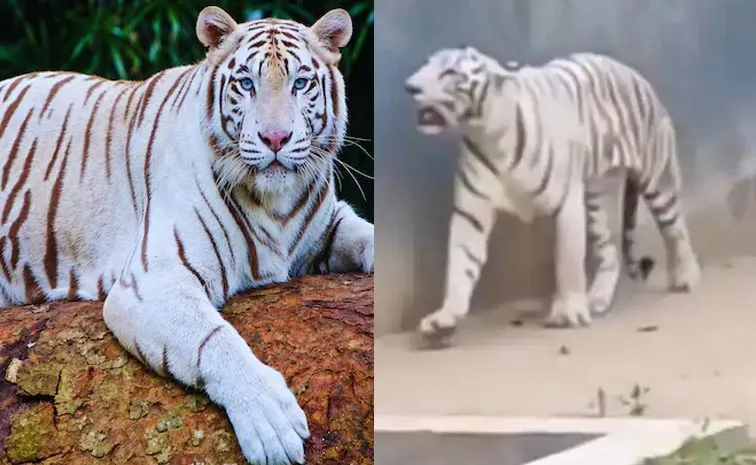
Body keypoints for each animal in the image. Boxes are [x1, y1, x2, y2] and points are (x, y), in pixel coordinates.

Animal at [0, 6, 373, 465]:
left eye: (300, 84)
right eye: (246, 84)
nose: (275, 138)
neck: (277, 205)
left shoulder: (325, 226)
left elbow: (368, 237)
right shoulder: (152, 281)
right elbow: (214, 338)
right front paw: (271, 421)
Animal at [403, 46, 700, 341]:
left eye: (449, 72)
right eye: (425, 64)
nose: (409, 87)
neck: (486, 133)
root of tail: (632, 72)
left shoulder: (567, 204)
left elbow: (568, 261)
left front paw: (569, 311)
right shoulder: (470, 212)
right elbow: (460, 263)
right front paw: (444, 318)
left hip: (657, 178)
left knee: (676, 229)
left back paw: (687, 277)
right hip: (595, 202)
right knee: (611, 250)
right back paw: (597, 298)